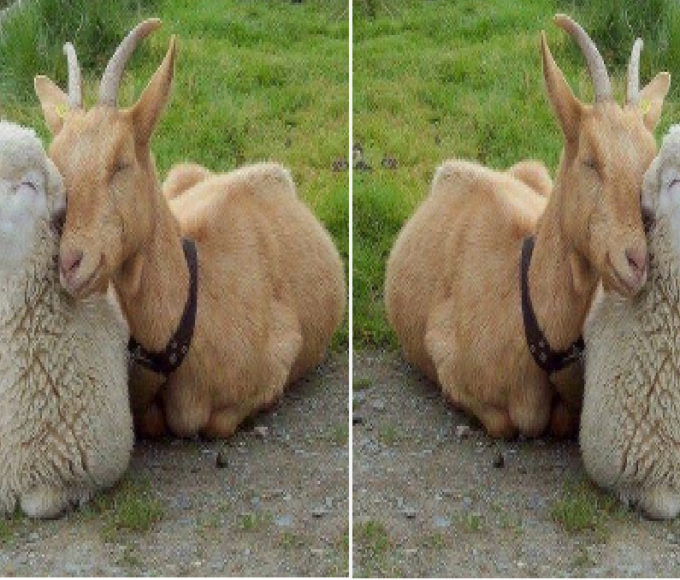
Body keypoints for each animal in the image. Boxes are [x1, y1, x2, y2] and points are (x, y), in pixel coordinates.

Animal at [34, 20, 346, 439]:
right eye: (54, 163)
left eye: (121, 162)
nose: (69, 263)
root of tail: (274, 171)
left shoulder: (281, 356)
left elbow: (215, 422)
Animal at [384, 16, 670, 439]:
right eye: (590, 159)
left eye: (651, 160)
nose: (637, 261)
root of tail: (451, 168)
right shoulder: (443, 357)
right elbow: (506, 422)